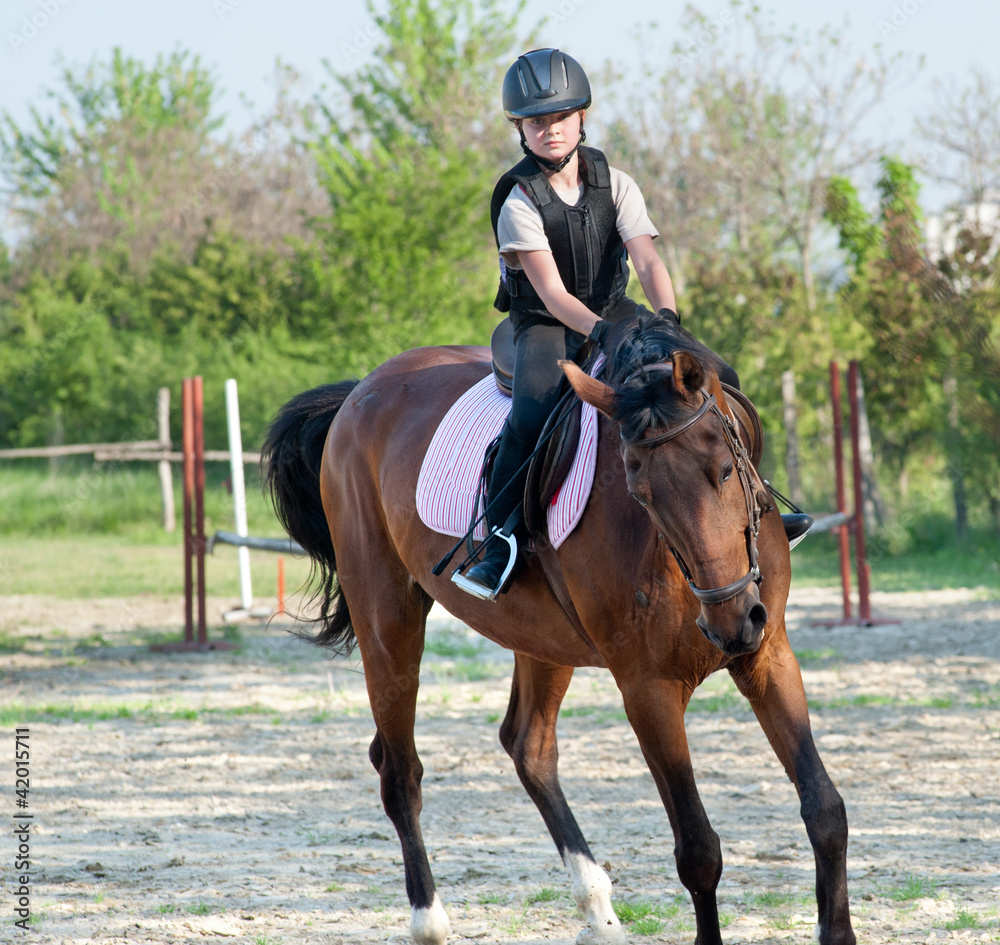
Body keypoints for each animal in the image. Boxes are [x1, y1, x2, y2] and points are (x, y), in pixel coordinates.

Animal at [262, 312, 856, 944]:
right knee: (400, 768)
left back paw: (598, 909)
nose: (731, 621)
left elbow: (825, 809)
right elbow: (698, 850)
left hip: (542, 639)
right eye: (639, 492)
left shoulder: (769, 657)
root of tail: (358, 393)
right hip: (387, 620)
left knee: (528, 745)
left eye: (724, 470)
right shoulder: (647, 689)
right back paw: (429, 920)